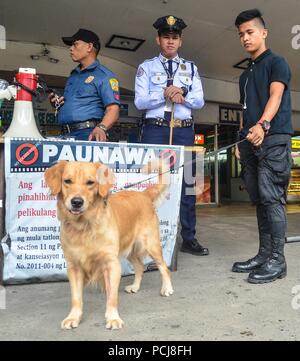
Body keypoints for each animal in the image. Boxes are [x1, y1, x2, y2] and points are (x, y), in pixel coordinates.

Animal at [43, 159, 172, 328]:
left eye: (90, 182)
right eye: (67, 181)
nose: (76, 202)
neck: (84, 226)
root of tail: (143, 194)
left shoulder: (111, 264)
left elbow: (112, 297)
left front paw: (113, 318)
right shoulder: (74, 267)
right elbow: (76, 298)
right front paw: (73, 317)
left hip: (151, 245)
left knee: (164, 268)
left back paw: (167, 288)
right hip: (130, 249)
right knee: (140, 266)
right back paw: (135, 287)